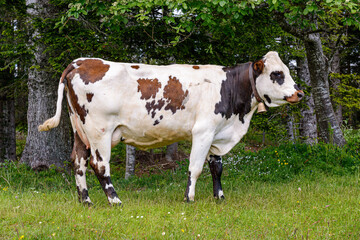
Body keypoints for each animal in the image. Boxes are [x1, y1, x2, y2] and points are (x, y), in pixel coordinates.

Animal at [38, 51, 304, 205]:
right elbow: (196, 168)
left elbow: (216, 168)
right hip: (99, 130)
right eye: (277, 73)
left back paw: (85, 200)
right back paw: (115, 200)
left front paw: (219, 197)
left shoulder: (217, 134)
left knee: (78, 161)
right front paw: (189, 198)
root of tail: (82, 61)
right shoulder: (203, 131)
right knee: (99, 165)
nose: (299, 93)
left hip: (80, 131)